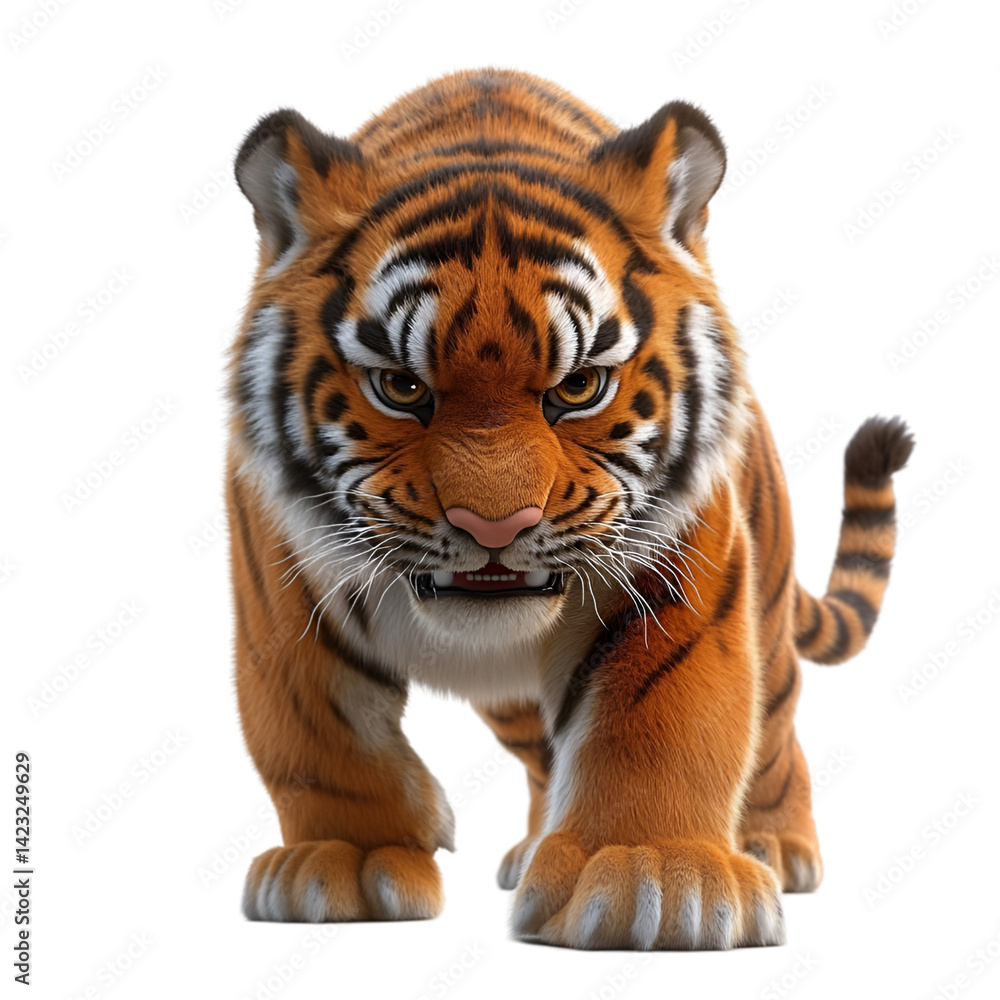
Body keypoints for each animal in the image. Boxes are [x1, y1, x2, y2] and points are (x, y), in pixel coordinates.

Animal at [227, 68, 913, 950]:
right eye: (402, 388)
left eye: (579, 387)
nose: (493, 528)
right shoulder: (280, 587)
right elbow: (316, 733)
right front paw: (344, 859)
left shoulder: (677, 566)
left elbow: (662, 713)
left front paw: (655, 875)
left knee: (776, 731)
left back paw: (770, 844)